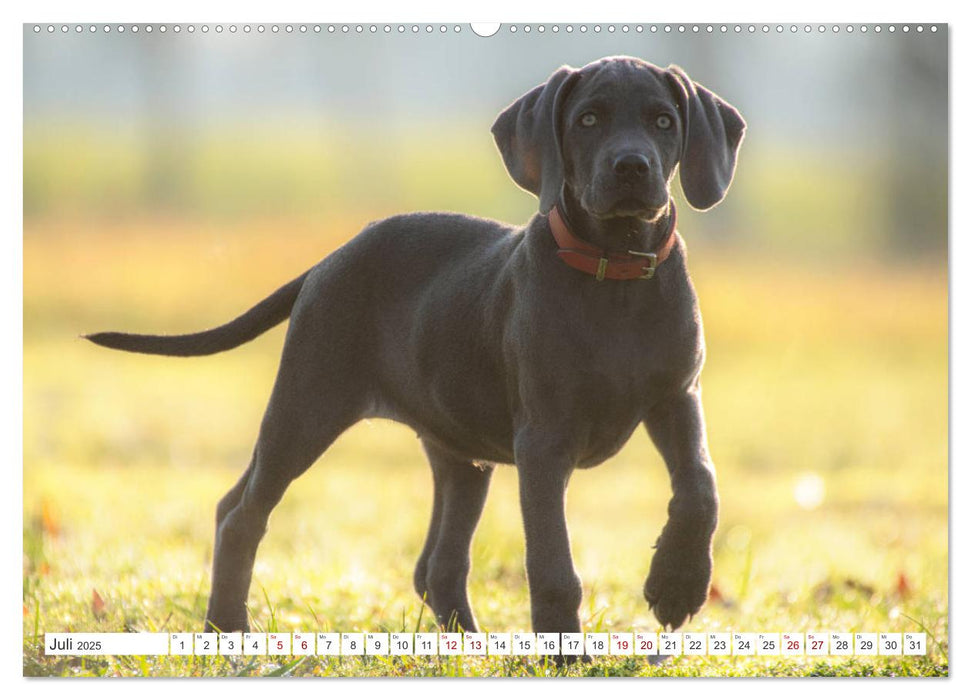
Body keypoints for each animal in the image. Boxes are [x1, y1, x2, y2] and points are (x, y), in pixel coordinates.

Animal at [87, 57, 748, 636]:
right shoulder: (543, 440)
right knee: (242, 514)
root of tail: (328, 260)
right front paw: (567, 651)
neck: (615, 272)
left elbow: (702, 487)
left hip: (461, 456)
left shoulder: (676, 398)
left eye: (663, 120)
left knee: (436, 566)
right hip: (306, 405)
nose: (632, 167)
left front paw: (678, 586)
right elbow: (553, 565)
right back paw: (228, 629)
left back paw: (468, 648)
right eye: (588, 119)